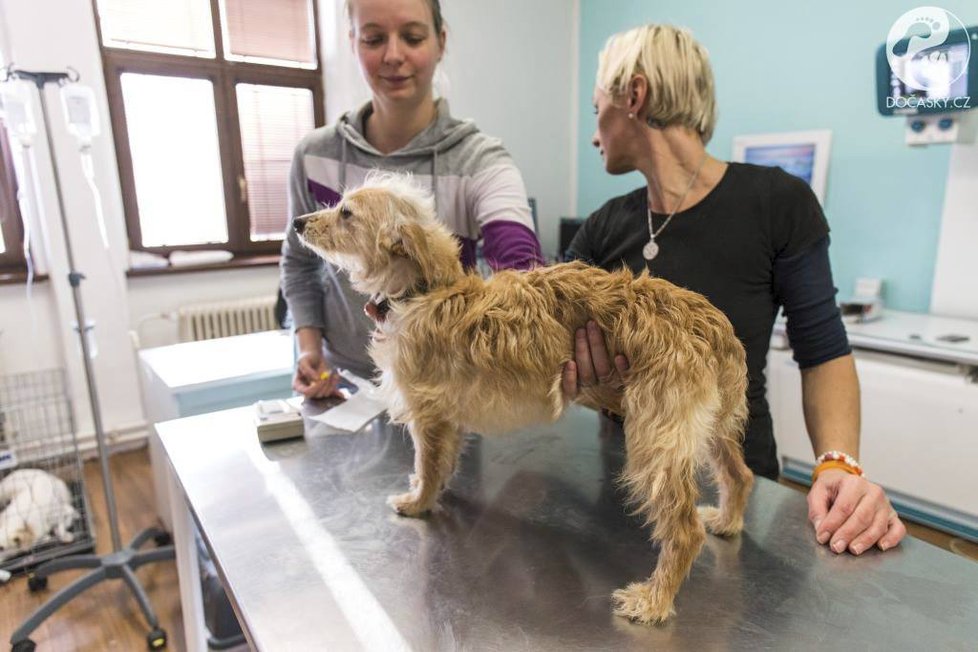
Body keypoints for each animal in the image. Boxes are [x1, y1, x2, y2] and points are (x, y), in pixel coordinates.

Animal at [294, 171, 752, 624]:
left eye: (346, 212)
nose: (297, 222)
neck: (425, 291)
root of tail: (710, 324)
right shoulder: (447, 419)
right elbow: (442, 464)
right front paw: (432, 491)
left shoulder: (428, 414)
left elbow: (427, 465)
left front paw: (418, 501)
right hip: (708, 426)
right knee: (740, 474)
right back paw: (727, 520)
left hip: (658, 436)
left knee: (684, 529)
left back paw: (654, 600)